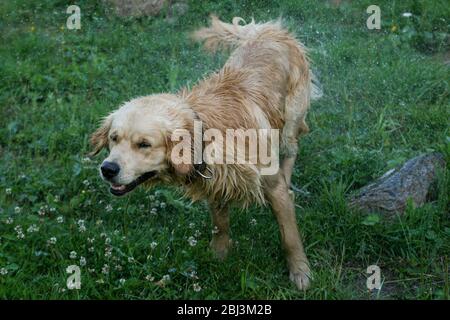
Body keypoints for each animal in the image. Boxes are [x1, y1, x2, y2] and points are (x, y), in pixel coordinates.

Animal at [90, 15, 320, 290]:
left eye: (144, 144)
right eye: (114, 138)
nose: (107, 169)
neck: (208, 137)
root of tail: (267, 29)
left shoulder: (275, 191)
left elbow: (289, 237)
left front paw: (300, 271)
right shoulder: (215, 182)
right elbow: (220, 225)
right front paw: (219, 255)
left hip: (291, 119)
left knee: (293, 144)